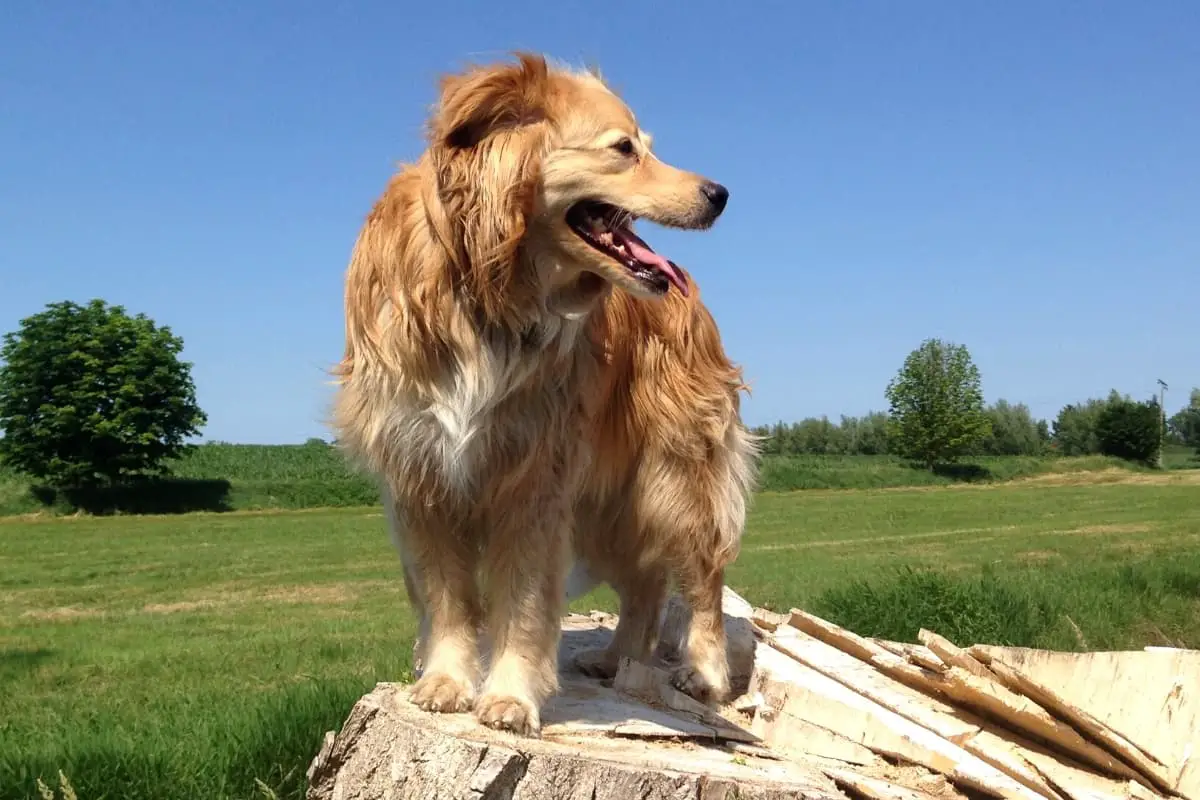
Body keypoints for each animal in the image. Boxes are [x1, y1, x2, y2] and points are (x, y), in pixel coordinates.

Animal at [333, 51, 753, 738]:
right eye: (624, 148)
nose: (720, 194)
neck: (485, 283)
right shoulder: (421, 476)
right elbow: (447, 597)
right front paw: (447, 681)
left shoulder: (534, 480)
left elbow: (523, 601)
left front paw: (508, 696)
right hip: (607, 503)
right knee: (644, 582)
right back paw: (617, 660)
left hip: (673, 476)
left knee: (702, 577)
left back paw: (704, 672)